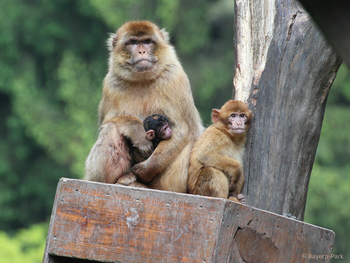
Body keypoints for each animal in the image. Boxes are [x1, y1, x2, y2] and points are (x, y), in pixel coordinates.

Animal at [84, 21, 202, 192]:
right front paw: (137, 132)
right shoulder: (111, 83)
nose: (141, 51)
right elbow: (109, 121)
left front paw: (145, 169)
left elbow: (182, 129)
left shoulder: (174, 77)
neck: (142, 79)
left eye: (147, 41)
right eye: (133, 42)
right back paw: (119, 179)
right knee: (111, 129)